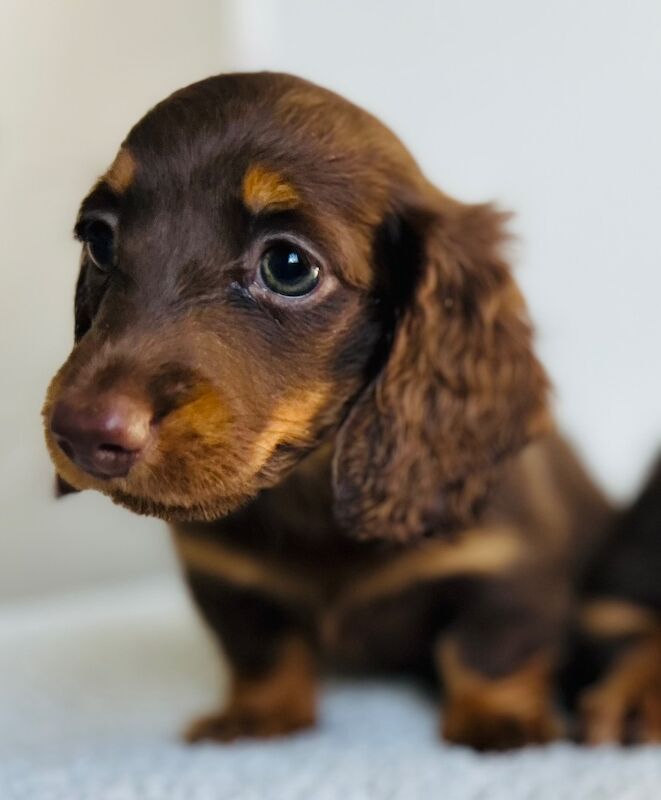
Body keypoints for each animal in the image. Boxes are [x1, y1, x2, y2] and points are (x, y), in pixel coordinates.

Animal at [40, 73, 608, 752]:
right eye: (99, 239)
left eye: (289, 266)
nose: (80, 432)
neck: (313, 492)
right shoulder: (223, 577)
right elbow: (260, 649)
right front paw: (259, 715)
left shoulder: (514, 563)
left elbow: (488, 647)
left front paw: (500, 721)